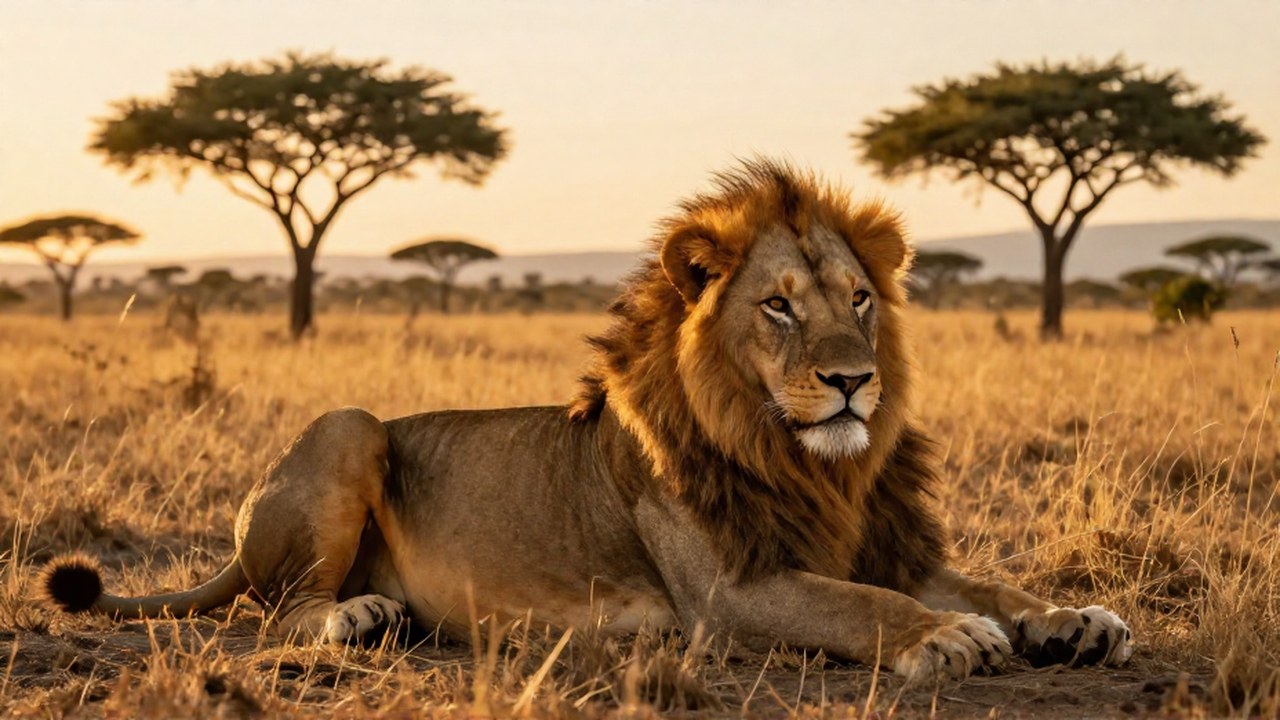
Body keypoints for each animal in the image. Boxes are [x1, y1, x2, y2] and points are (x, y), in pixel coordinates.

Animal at [42, 159, 1132, 682]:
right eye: (778, 307)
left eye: (859, 299)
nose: (853, 381)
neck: (805, 460)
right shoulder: (728, 593)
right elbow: (856, 605)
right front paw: (943, 638)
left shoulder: (881, 540)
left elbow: (986, 581)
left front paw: (1071, 620)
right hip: (350, 424)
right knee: (276, 609)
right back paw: (358, 615)